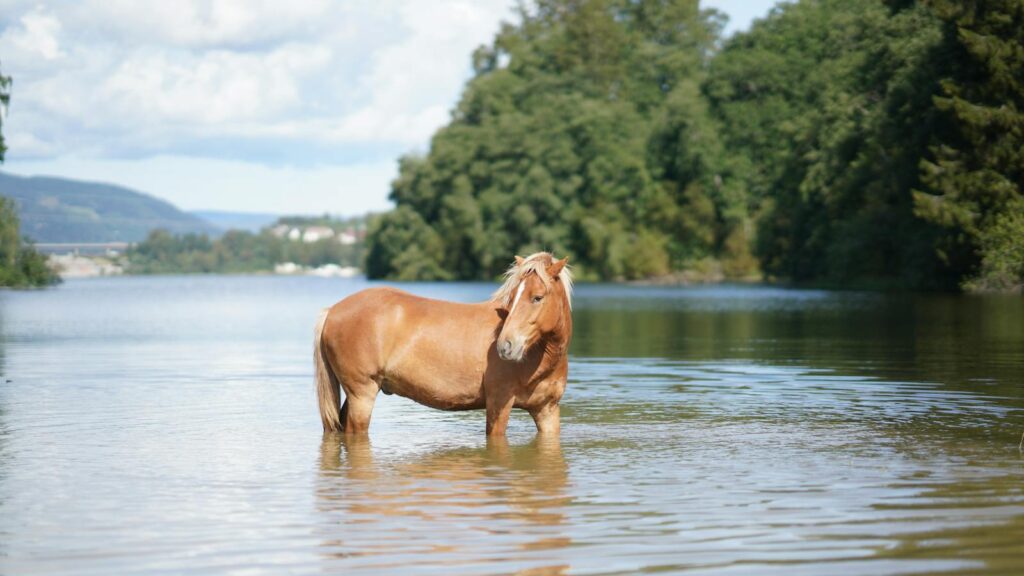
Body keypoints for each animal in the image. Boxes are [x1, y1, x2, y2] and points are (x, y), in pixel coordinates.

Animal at [313, 252, 573, 437]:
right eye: (513, 296)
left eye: (537, 297)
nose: (505, 346)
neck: (540, 357)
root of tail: (332, 311)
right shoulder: (499, 404)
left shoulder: (547, 410)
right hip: (362, 394)